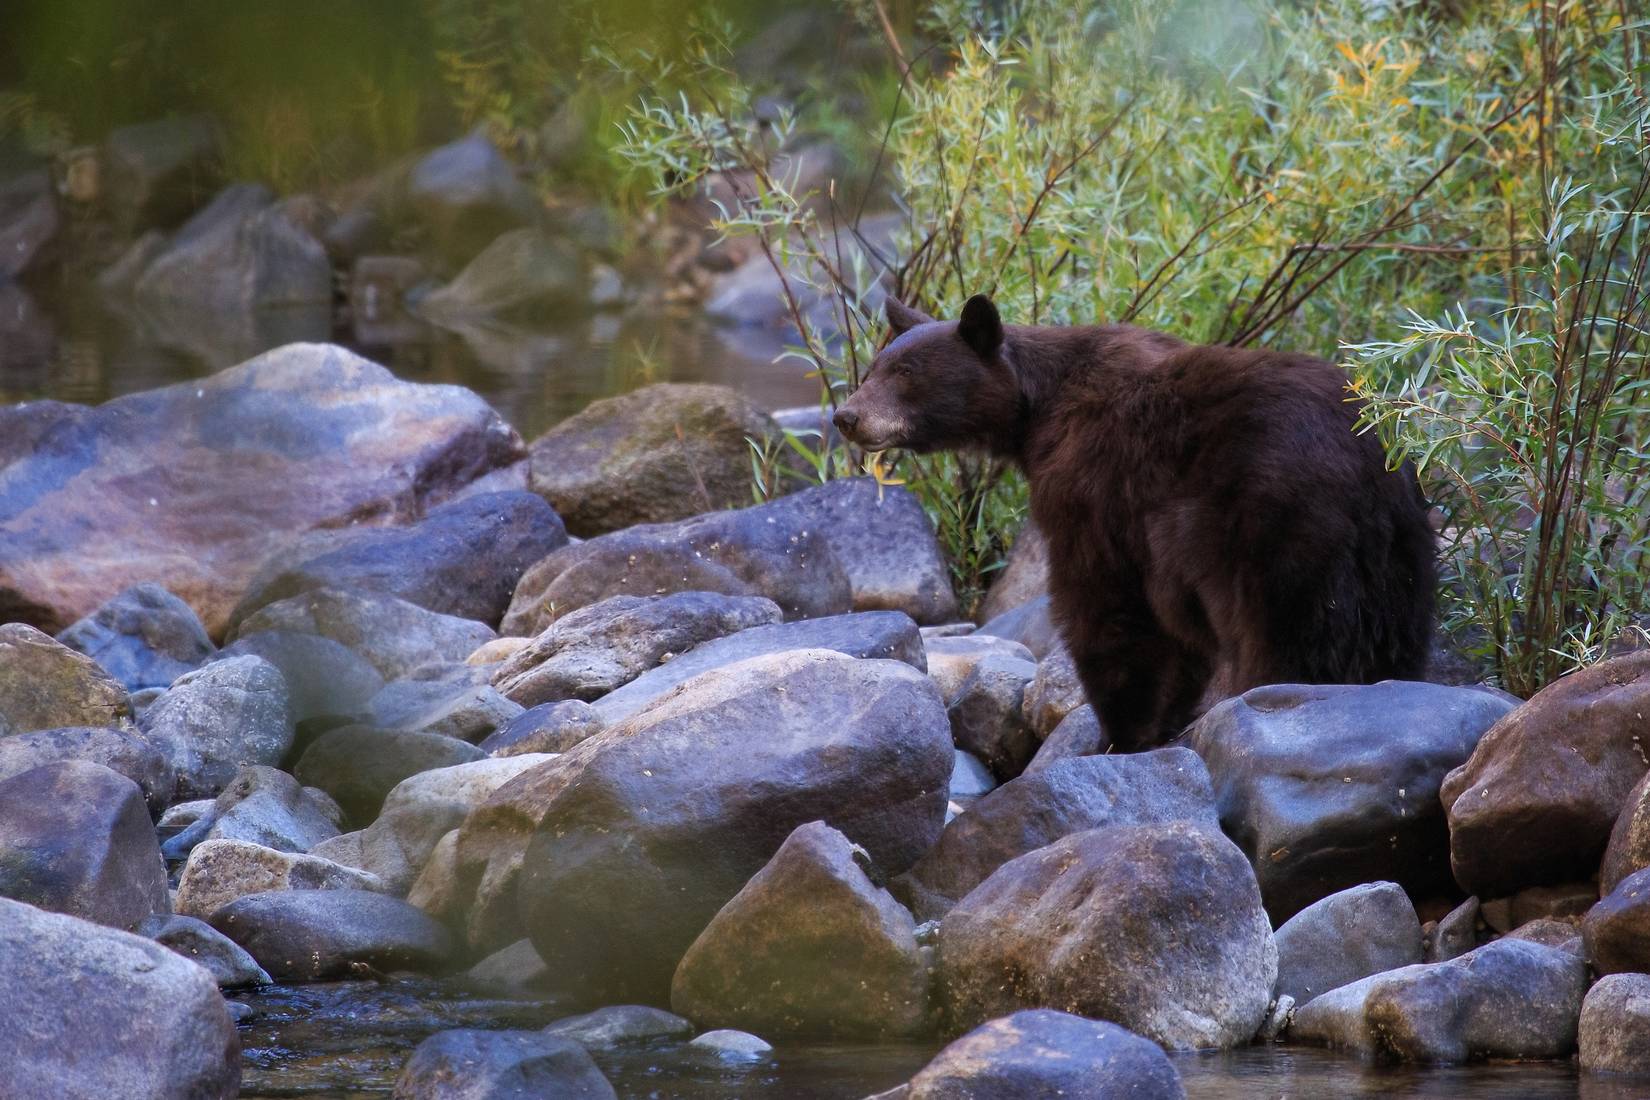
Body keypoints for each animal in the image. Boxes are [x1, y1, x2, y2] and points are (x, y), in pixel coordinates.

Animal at [833, 294, 1436, 751]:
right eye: (874, 367)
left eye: (905, 374)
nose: (846, 415)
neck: (1039, 409)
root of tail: (1362, 465)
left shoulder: (1095, 489)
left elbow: (1105, 606)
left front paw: (1120, 732)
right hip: (1398, 549)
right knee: (1392, 634)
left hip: (1280, 530)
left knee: (1286, 631)